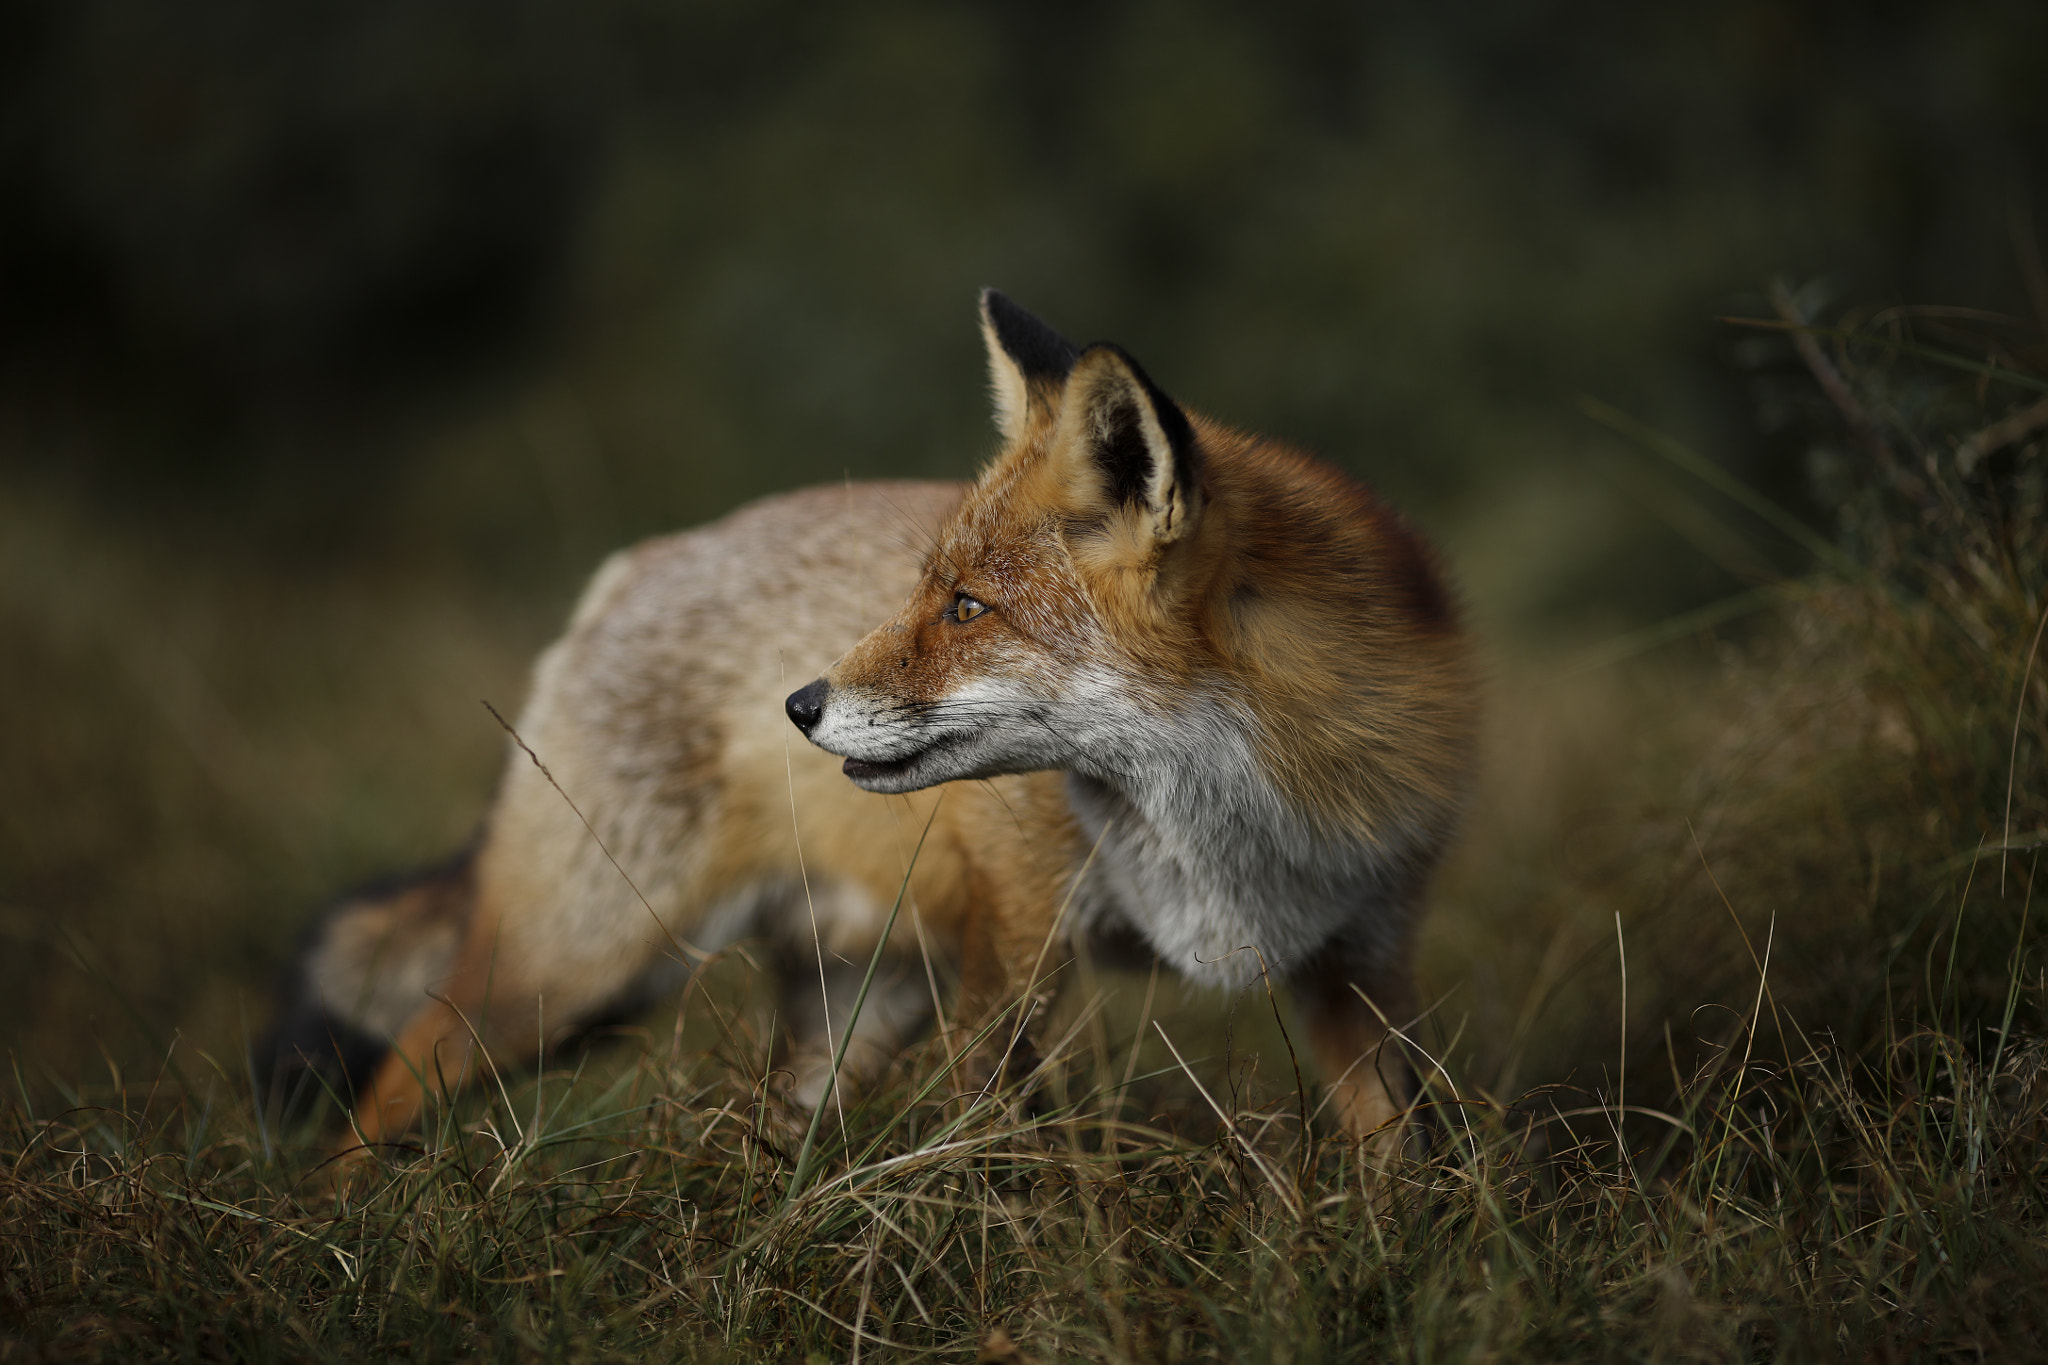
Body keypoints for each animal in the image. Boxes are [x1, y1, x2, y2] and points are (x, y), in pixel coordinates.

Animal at [260, 291, 1477, 1160]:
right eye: (922, 591)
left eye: (968, 608)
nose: (799, 706)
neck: (1231, 824)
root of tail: (635, 564)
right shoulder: (1019, 948)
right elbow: (991, 1151)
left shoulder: (1363, 963)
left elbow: (1402, 1155)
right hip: (576, 973)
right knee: (389, 1086)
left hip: (852, 1013)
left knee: (780, 1139)